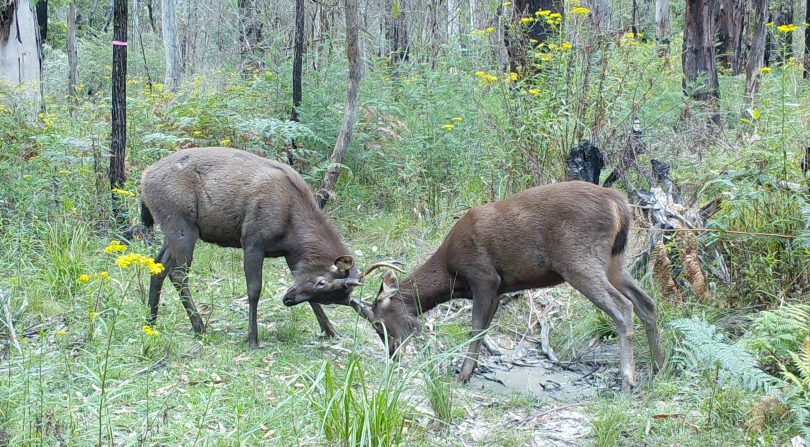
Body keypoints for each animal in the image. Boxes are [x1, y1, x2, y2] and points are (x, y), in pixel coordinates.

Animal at [140, 147, 398, 346]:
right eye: (322, 283)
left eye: (331, 295)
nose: (288, 299)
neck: (292, 228)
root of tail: (144, 178)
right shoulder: (252, 240)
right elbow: (254, 290)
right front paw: (252, 338)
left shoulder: (291, 255)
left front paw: (329, 329)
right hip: (180, 223)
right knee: (178, 274)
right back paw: (199, 326)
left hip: (174, 228)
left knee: (159, 265)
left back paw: (151, 320)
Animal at [354, 180, 664, 390]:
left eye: (378, 321)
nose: (392, 355)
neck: (451, 275)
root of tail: (619, 204)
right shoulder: (498, 289)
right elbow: (483, 329)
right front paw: (470, 371)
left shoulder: (483, 276)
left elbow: (475, 327)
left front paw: (463, 374)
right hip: (615, 261)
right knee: (647, 302)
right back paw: (657, 368)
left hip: (579, 258)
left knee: (623, 307)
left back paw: (628, 379)